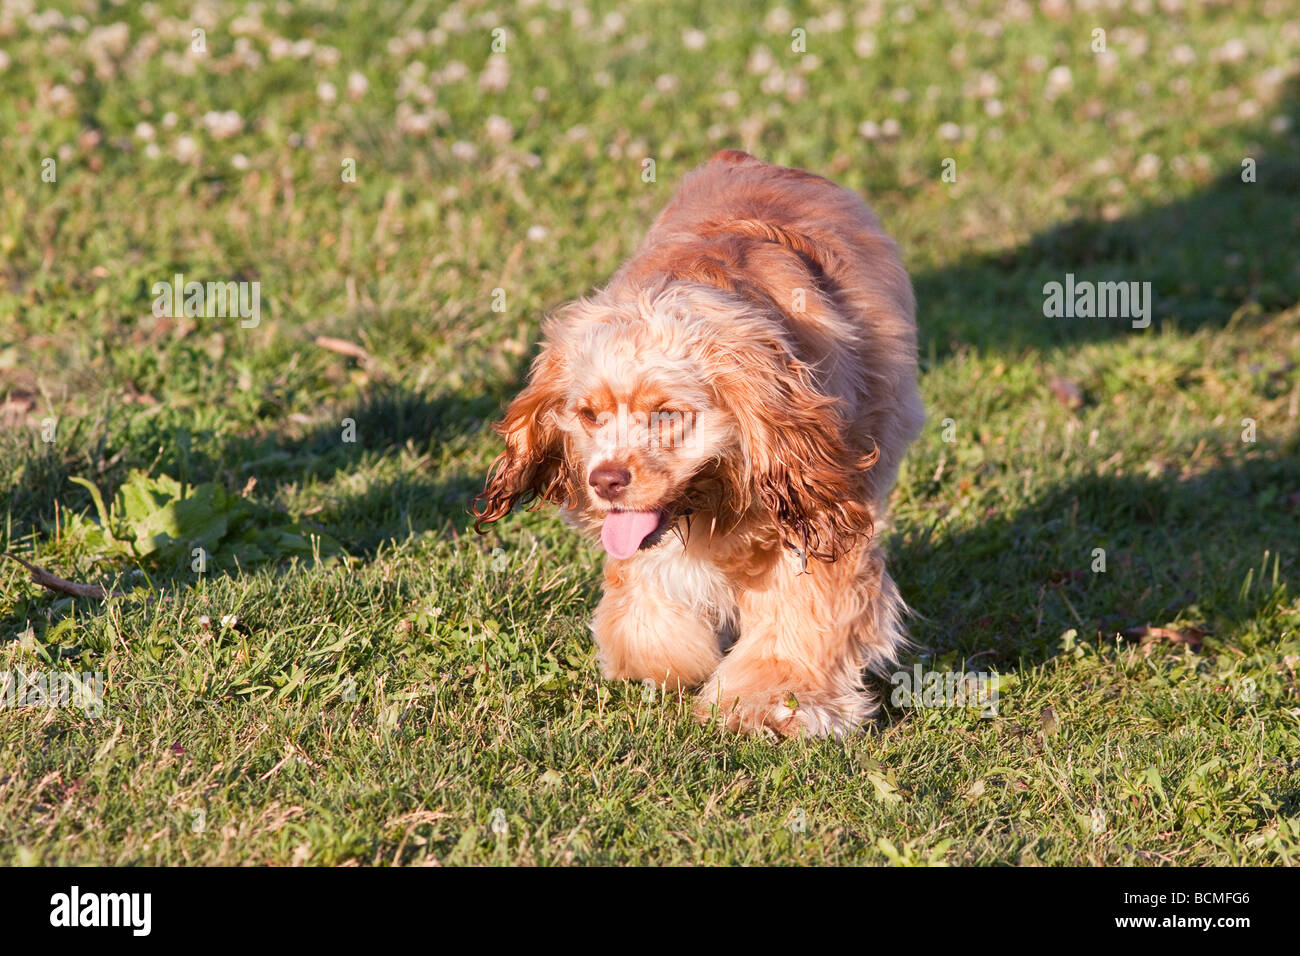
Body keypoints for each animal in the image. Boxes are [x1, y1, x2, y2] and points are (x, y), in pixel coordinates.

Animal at [478, 149, 925, 738]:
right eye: (590, 415)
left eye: (668, 414)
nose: (605, 481)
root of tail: (752, 157)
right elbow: (643, 589)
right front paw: (662, 655)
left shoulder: (824, 510)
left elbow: (806, 607)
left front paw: (771, 702)